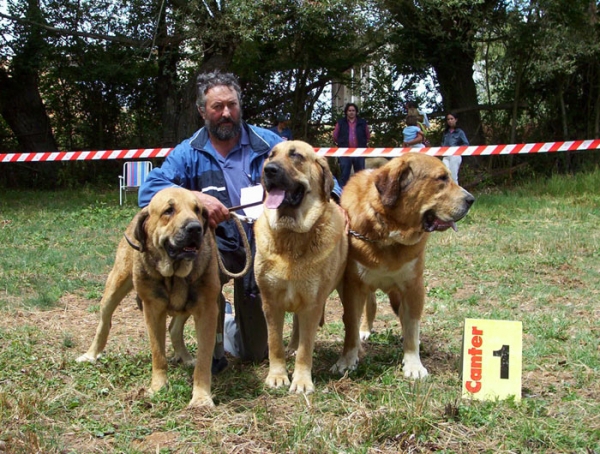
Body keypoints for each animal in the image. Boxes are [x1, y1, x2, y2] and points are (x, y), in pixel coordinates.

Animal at [77, 188, 221, 408]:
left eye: (197, 210)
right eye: (169, 210)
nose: (195, 228)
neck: (173, 275)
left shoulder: (206, 310)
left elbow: (204, 359)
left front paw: (201, 398)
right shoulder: (152, 309)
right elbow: (158, 354)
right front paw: (158, 388)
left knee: (174, 328)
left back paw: (185, 357)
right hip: (115, 285)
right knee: (104, 322)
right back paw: (91, 354)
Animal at [253, 141, 346, 394]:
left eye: (296, 156)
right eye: (270, 156)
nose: (269, 170)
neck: (290, 236)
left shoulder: (312, 304)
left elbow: (306, 349)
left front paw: (302, 381)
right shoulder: (270, 303)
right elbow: (274, 343)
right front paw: (277, 376)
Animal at [330, 155, 476, 380]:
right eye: (441, 178)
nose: (471, 199)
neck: (388, 233)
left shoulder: (413, 287)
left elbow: (411, 328)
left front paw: (414, 365)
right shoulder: (354, 286)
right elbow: (351, 327)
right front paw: (346, 361)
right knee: (371, 306)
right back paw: (365, 330)